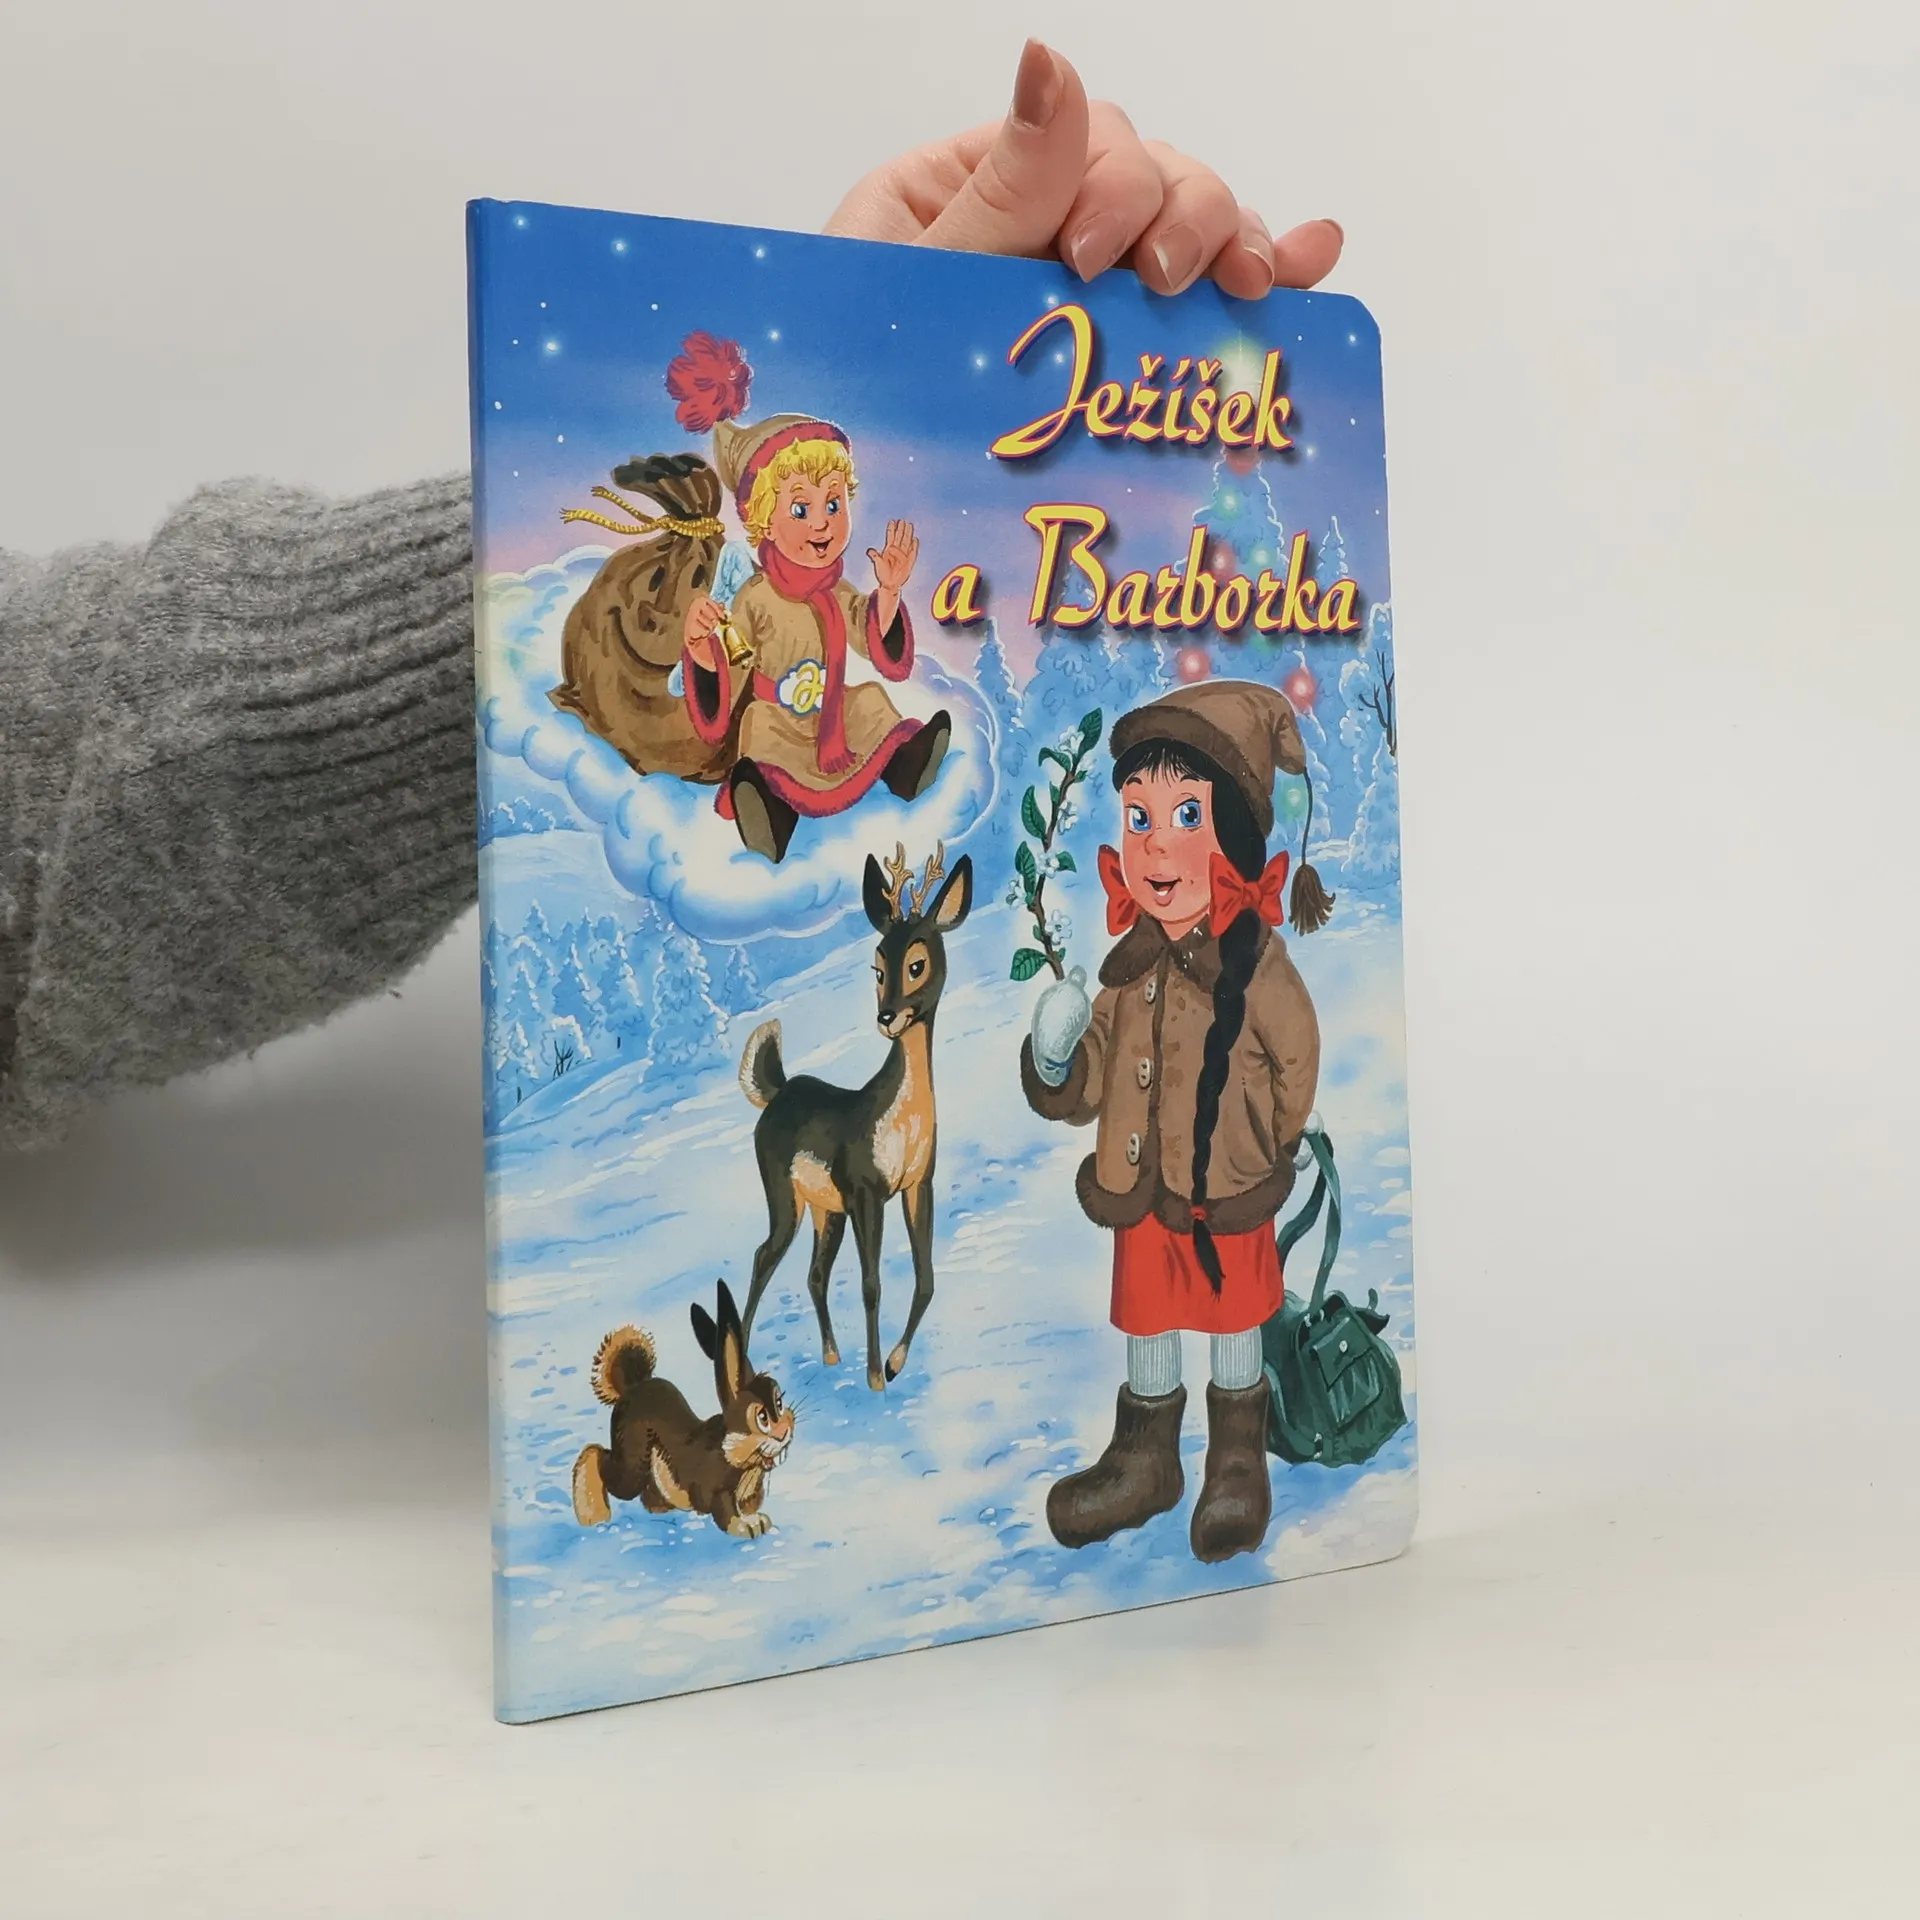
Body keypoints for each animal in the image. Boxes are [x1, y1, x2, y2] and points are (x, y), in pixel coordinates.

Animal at [737, 842, 972, 1391]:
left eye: (917, 963)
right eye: (877, 968)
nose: (887, 1017)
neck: (902, 1120)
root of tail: (777, 1091)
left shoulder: (917, 1183)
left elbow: (926, 1279)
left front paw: (893, 1363)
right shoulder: (867, 1190)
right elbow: (871, 1284)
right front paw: (875, 1376)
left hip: (827, 1210)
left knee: (814, 1273)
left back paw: (829, 1355)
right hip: (785, 1196)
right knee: (763, 1256)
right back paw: (750, 1365)